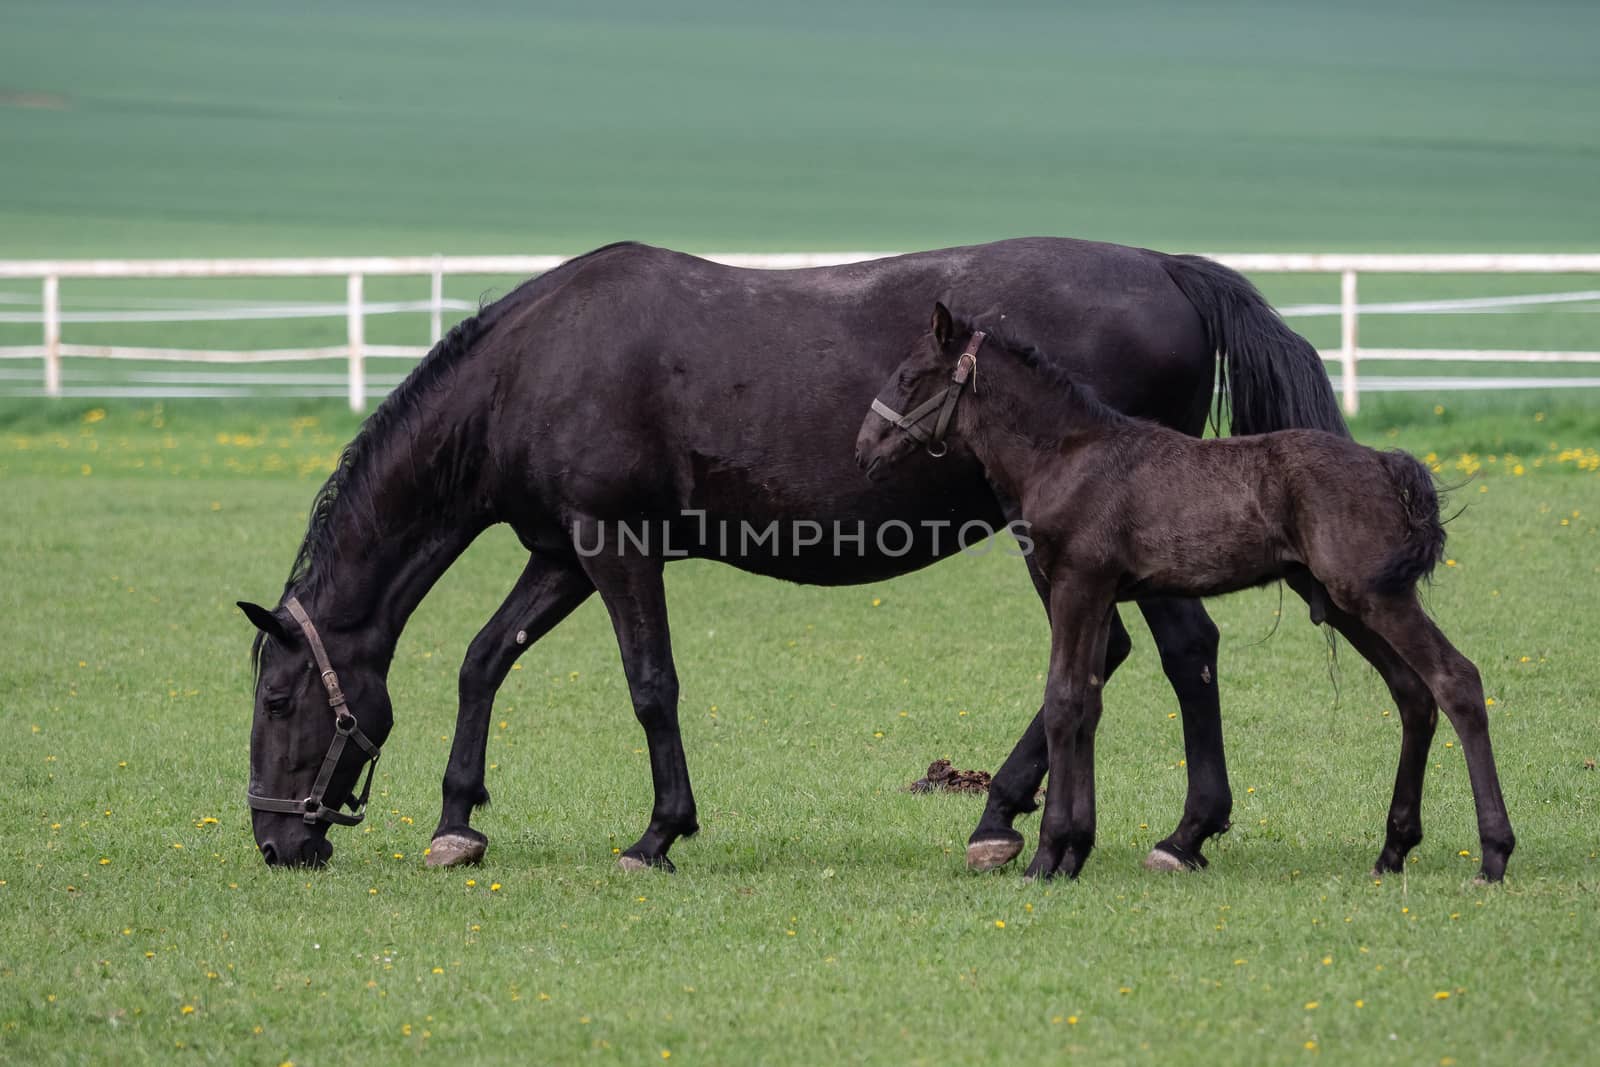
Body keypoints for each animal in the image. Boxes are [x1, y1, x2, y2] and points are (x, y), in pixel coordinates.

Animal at [857, 307, 1516, 883]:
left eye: (909, 377)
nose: (864, 449)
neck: (1066, 455)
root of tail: (1384, 463)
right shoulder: (1100, 594)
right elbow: (1088, 702)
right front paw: (1074, 853)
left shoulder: (1077, 583)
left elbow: (1064, 700)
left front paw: (1047, 858)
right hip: (1345, 600)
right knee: (1412, 693)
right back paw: (1393, 850)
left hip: (1377, 596)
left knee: (1456, 680)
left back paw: (1492, 856)